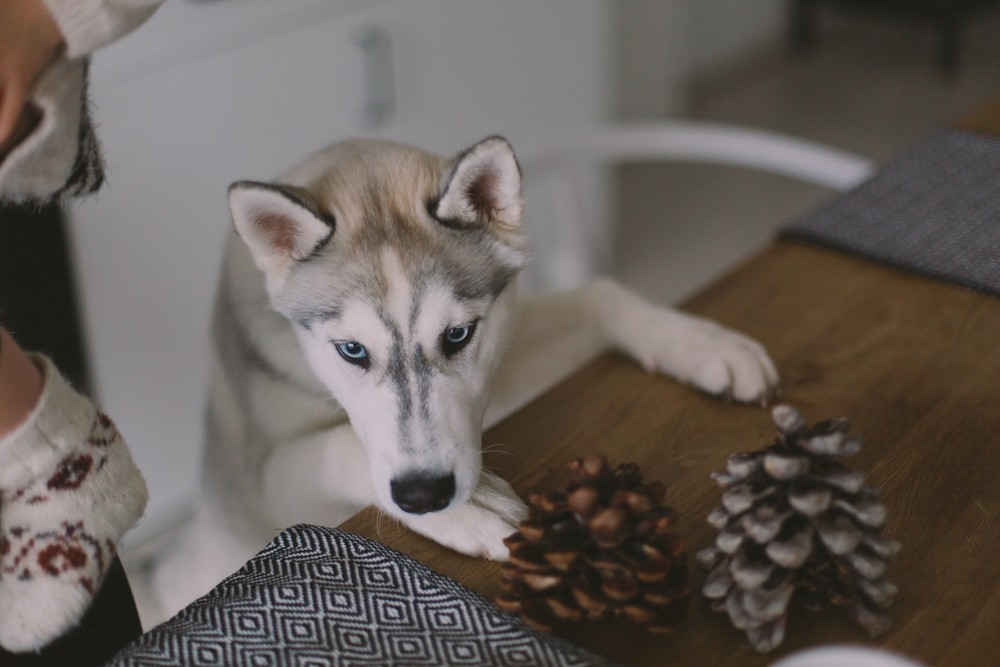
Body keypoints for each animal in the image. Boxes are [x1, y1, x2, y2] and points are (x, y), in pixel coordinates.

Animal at [150, 136, 780, 620]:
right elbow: (340, 445)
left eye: (457, 335)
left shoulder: (511, 338)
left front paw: (702, 342)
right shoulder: (264, 474)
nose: (425, 495)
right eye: (352, 350)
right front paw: (471, 510)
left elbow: (599, 294)